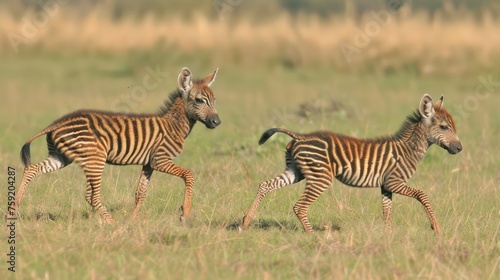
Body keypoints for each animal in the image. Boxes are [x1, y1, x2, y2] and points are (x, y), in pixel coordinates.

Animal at [13, 66, 221, 224]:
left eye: (214, 101)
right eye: (199, 100)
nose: (217, 122)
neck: (173, 125)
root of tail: (57, 123)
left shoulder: (148, 163)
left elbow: (140, 193)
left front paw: (133, 222)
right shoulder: (160, 159)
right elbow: (189, 175)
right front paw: (184, 213)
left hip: (61, 156)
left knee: (31, 169)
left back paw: (13, 209)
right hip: (95, 160)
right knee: (92, 196)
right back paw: (112, 224)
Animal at [240, 94, 462, 234]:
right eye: (444, 127)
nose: (459, 148)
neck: (408, 150)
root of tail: (300, 136)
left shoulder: (386, 185)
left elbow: (387, 212)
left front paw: (388, 238)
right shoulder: (394, 181)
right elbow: (422, 195)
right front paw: (436, 228)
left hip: (296, 171)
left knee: (266, 185)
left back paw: (245, 222)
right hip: (320, 177)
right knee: (299, 206)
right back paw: (313, 236)